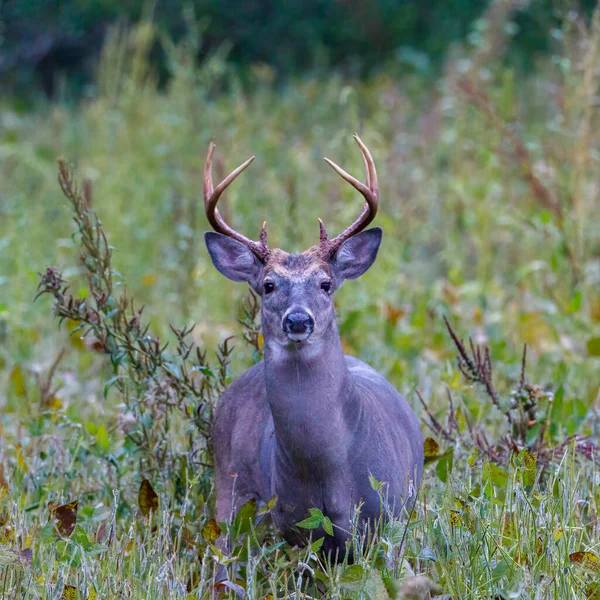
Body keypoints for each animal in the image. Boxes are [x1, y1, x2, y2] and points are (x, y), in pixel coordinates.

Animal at [204, 136, 424, 556]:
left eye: (325, 283)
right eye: (268, 285)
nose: (298, 321)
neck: (329, 467)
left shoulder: (387, 519)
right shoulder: (296, 526)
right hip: (229, 489)